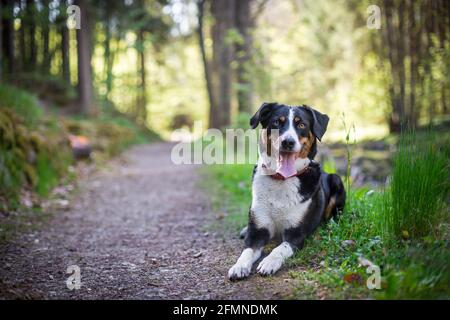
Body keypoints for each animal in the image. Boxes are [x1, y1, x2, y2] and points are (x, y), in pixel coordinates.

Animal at [227, 103, 346, 280]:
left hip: (337, 180)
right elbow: (246, 251)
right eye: (277, 122)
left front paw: (269, 262)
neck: (281, 179)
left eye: (301, 124)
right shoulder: (257, 231)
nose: (288, 142)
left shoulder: (296, 234)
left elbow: (279, 249)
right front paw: (239, 266)